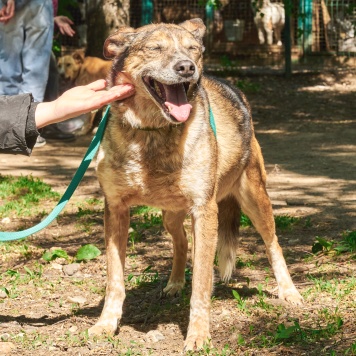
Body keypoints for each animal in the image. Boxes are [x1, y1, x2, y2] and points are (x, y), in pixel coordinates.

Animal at [89, 18, 304, 350]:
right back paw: (175, 283)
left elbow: (202, 281)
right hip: (170, 215)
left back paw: (289, 291)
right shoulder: (115, 209)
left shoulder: (205, 211)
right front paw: (107, 323)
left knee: (273, 245)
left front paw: (198, 335)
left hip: (254, 200)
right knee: (181, 243)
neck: (153, 132)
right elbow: (115, 280)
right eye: (155, 48)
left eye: (192, 49)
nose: (187, 68)